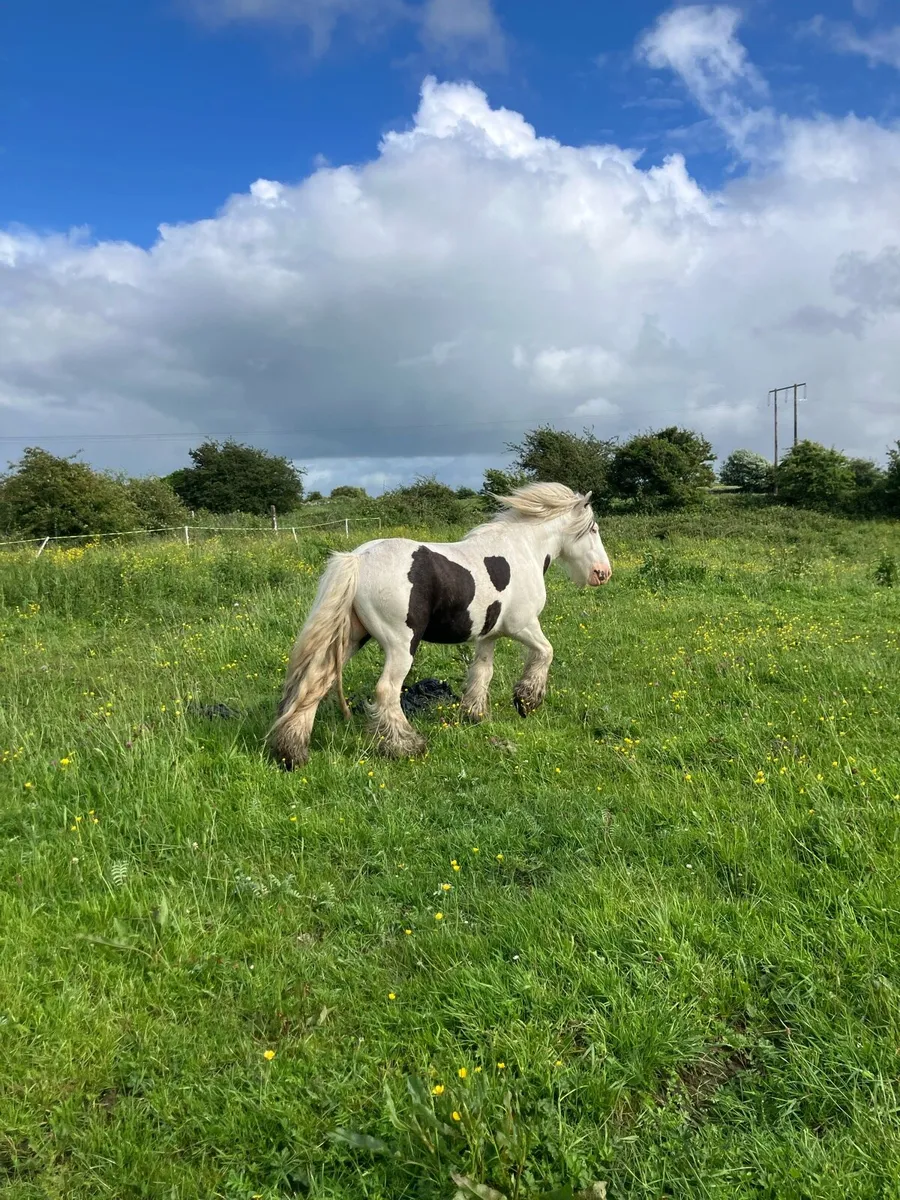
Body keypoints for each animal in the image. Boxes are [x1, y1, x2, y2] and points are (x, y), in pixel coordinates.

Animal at [268, 481, 612, 767]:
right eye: (593, 529)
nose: (603, 573)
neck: (522, 549)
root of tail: (358, 559)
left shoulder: (489, 635)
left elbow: (482, 673)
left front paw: (475, 715)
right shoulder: (523, 626)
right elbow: (545, 653)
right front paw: (527, 700)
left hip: (351, 638)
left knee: (314, 684)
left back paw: (292, 753)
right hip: (401, 645)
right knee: (386, 691)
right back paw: (406, 746)